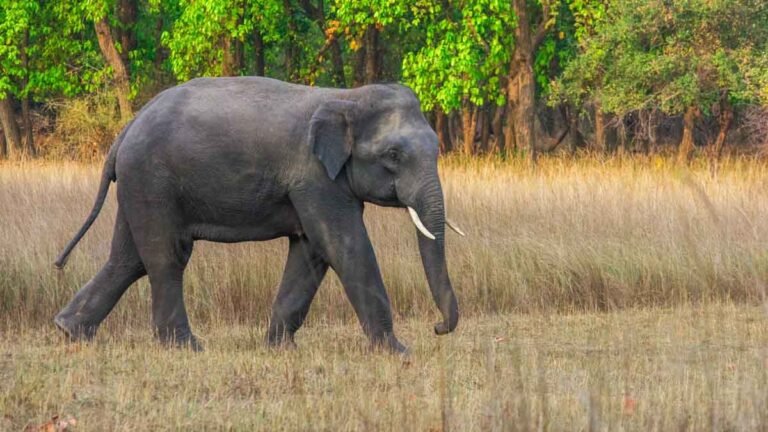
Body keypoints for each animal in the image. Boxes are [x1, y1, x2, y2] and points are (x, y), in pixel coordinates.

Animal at [53, 76, 464, 353]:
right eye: (393, 155)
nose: (437, 327)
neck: (346, 96)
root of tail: (126, 130)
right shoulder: (314, 176)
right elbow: (345, 246)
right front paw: (398, 352)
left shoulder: (314, 184)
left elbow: (311, 251)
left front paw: (280, 348)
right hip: (153, 181)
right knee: (166, 257)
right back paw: (187, 347)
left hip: (139, 185)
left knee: (128, 259)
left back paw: (70, 331)